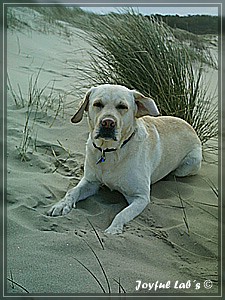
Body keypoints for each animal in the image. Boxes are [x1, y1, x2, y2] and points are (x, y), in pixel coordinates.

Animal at [48, 84, 202, 234]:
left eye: (122, 106)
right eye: (98, 104)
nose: (107, 123)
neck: (109, 151)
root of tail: (189, 125)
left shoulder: (140, 197)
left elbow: (122, 214)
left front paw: (113, 230)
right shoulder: (90, 182)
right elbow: (72, 191)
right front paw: (61, 205)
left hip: (189, 165)